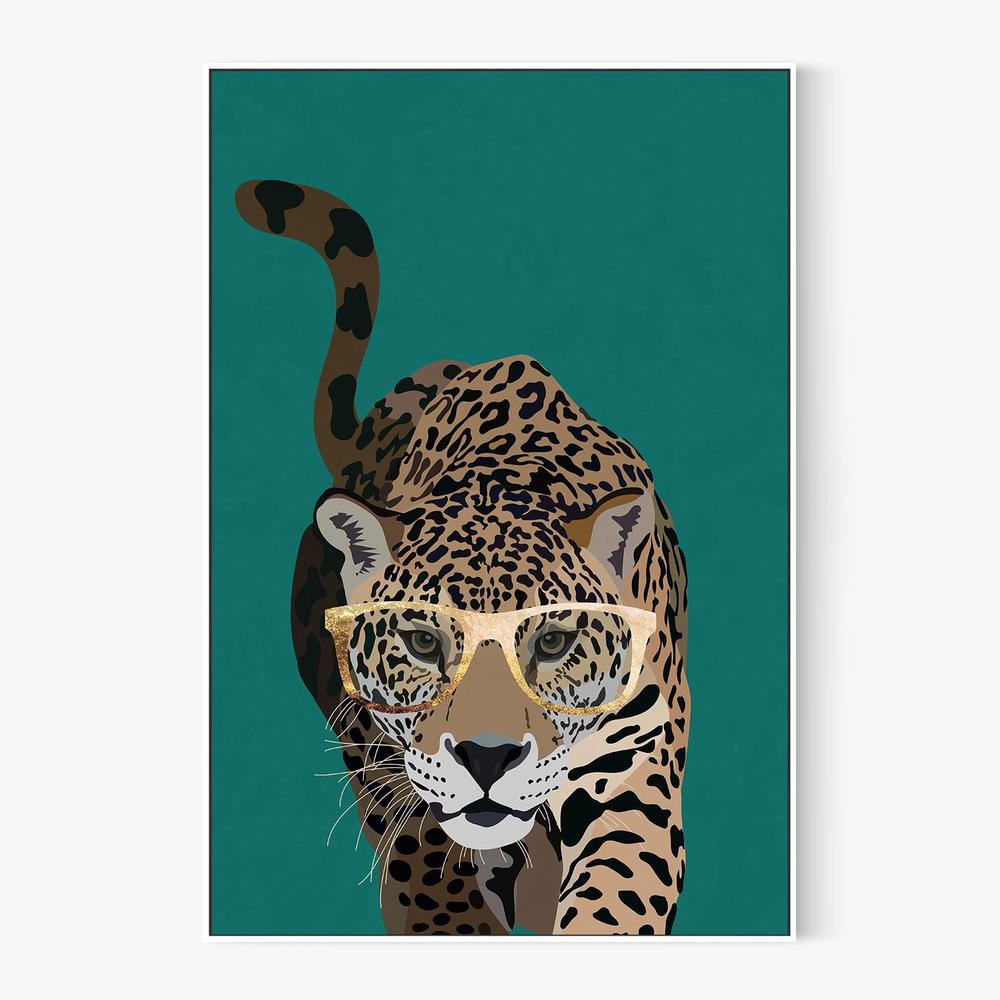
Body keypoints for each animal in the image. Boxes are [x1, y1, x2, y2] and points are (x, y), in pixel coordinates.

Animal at [234, 178, 690, 935]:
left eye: (554, 641)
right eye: (422, 641)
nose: (487, 756)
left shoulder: (634, 770)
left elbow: (616, 898)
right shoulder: (394, 776)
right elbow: (433, 885)